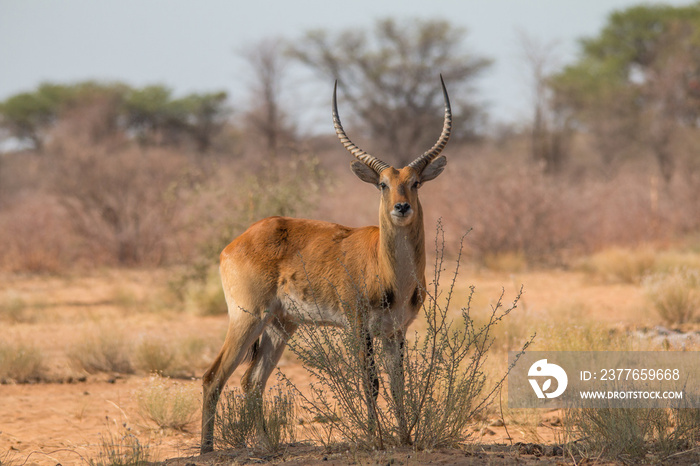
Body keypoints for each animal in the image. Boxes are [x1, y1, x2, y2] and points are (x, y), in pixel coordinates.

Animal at [201, 76, 454, 452]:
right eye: (383, 184)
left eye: (415, 182)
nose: (401, 207)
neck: (391, 273)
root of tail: (235, 243)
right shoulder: (359, 326)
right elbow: (371, 382)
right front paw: (374, 439)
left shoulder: (396, 330)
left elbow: (398, 385)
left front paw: (405, 439)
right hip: (248, 319)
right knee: (214, 376)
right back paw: (207, 449)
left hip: (281, 325)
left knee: (252, 382)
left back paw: (266, 446)